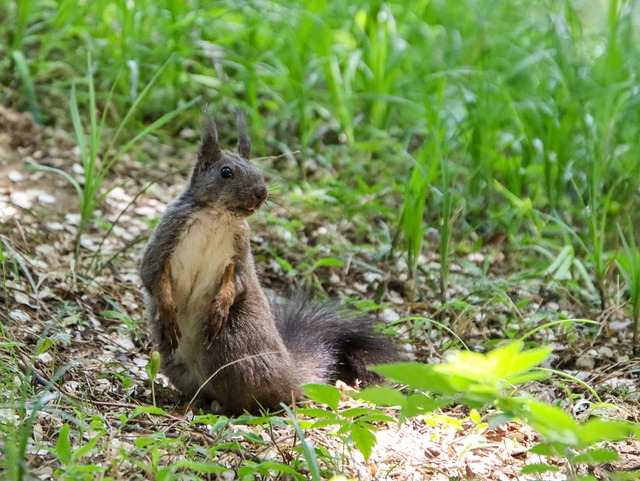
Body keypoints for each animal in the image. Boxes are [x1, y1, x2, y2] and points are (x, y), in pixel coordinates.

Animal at [142, 109, 398, 412]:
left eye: (260, 172)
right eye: (226, 172)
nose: (261, 193)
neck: (216, 216)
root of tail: (292, 378)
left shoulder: (239, 250)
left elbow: (238, 281)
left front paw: (221, 305)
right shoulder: (167, 234)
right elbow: (151, 274)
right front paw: (168, 311)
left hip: (231, 344)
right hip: (178, 358)